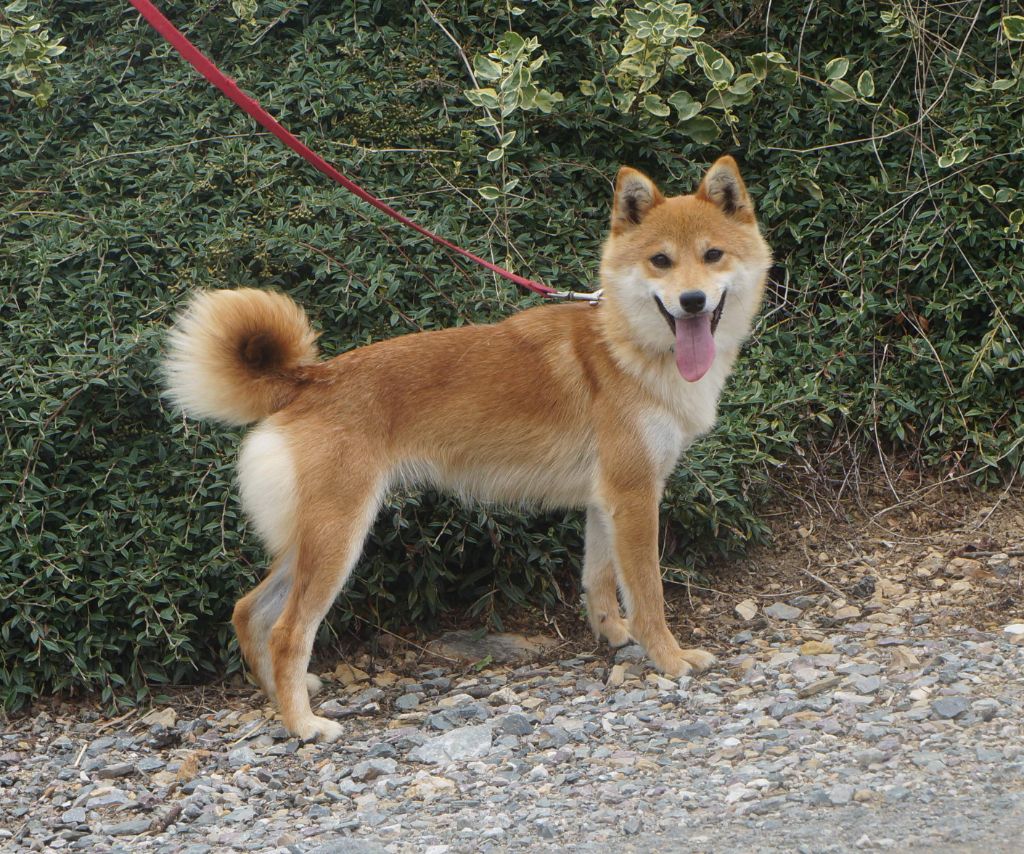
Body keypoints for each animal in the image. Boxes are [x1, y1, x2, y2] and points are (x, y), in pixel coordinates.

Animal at [161, 154, 770, 737]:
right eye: (660, 261)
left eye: (712, 255)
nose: (692, 301)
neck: (629, 347)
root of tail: (311, 379)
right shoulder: (636, 497)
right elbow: (648, 594)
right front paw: (669, 658)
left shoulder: (609, 502)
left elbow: (599, 583)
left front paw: (614, 636)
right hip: (339, 539)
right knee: (287, 631)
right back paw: (304, 726)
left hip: (312, 539)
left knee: (250, 612)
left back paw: (280, 702)